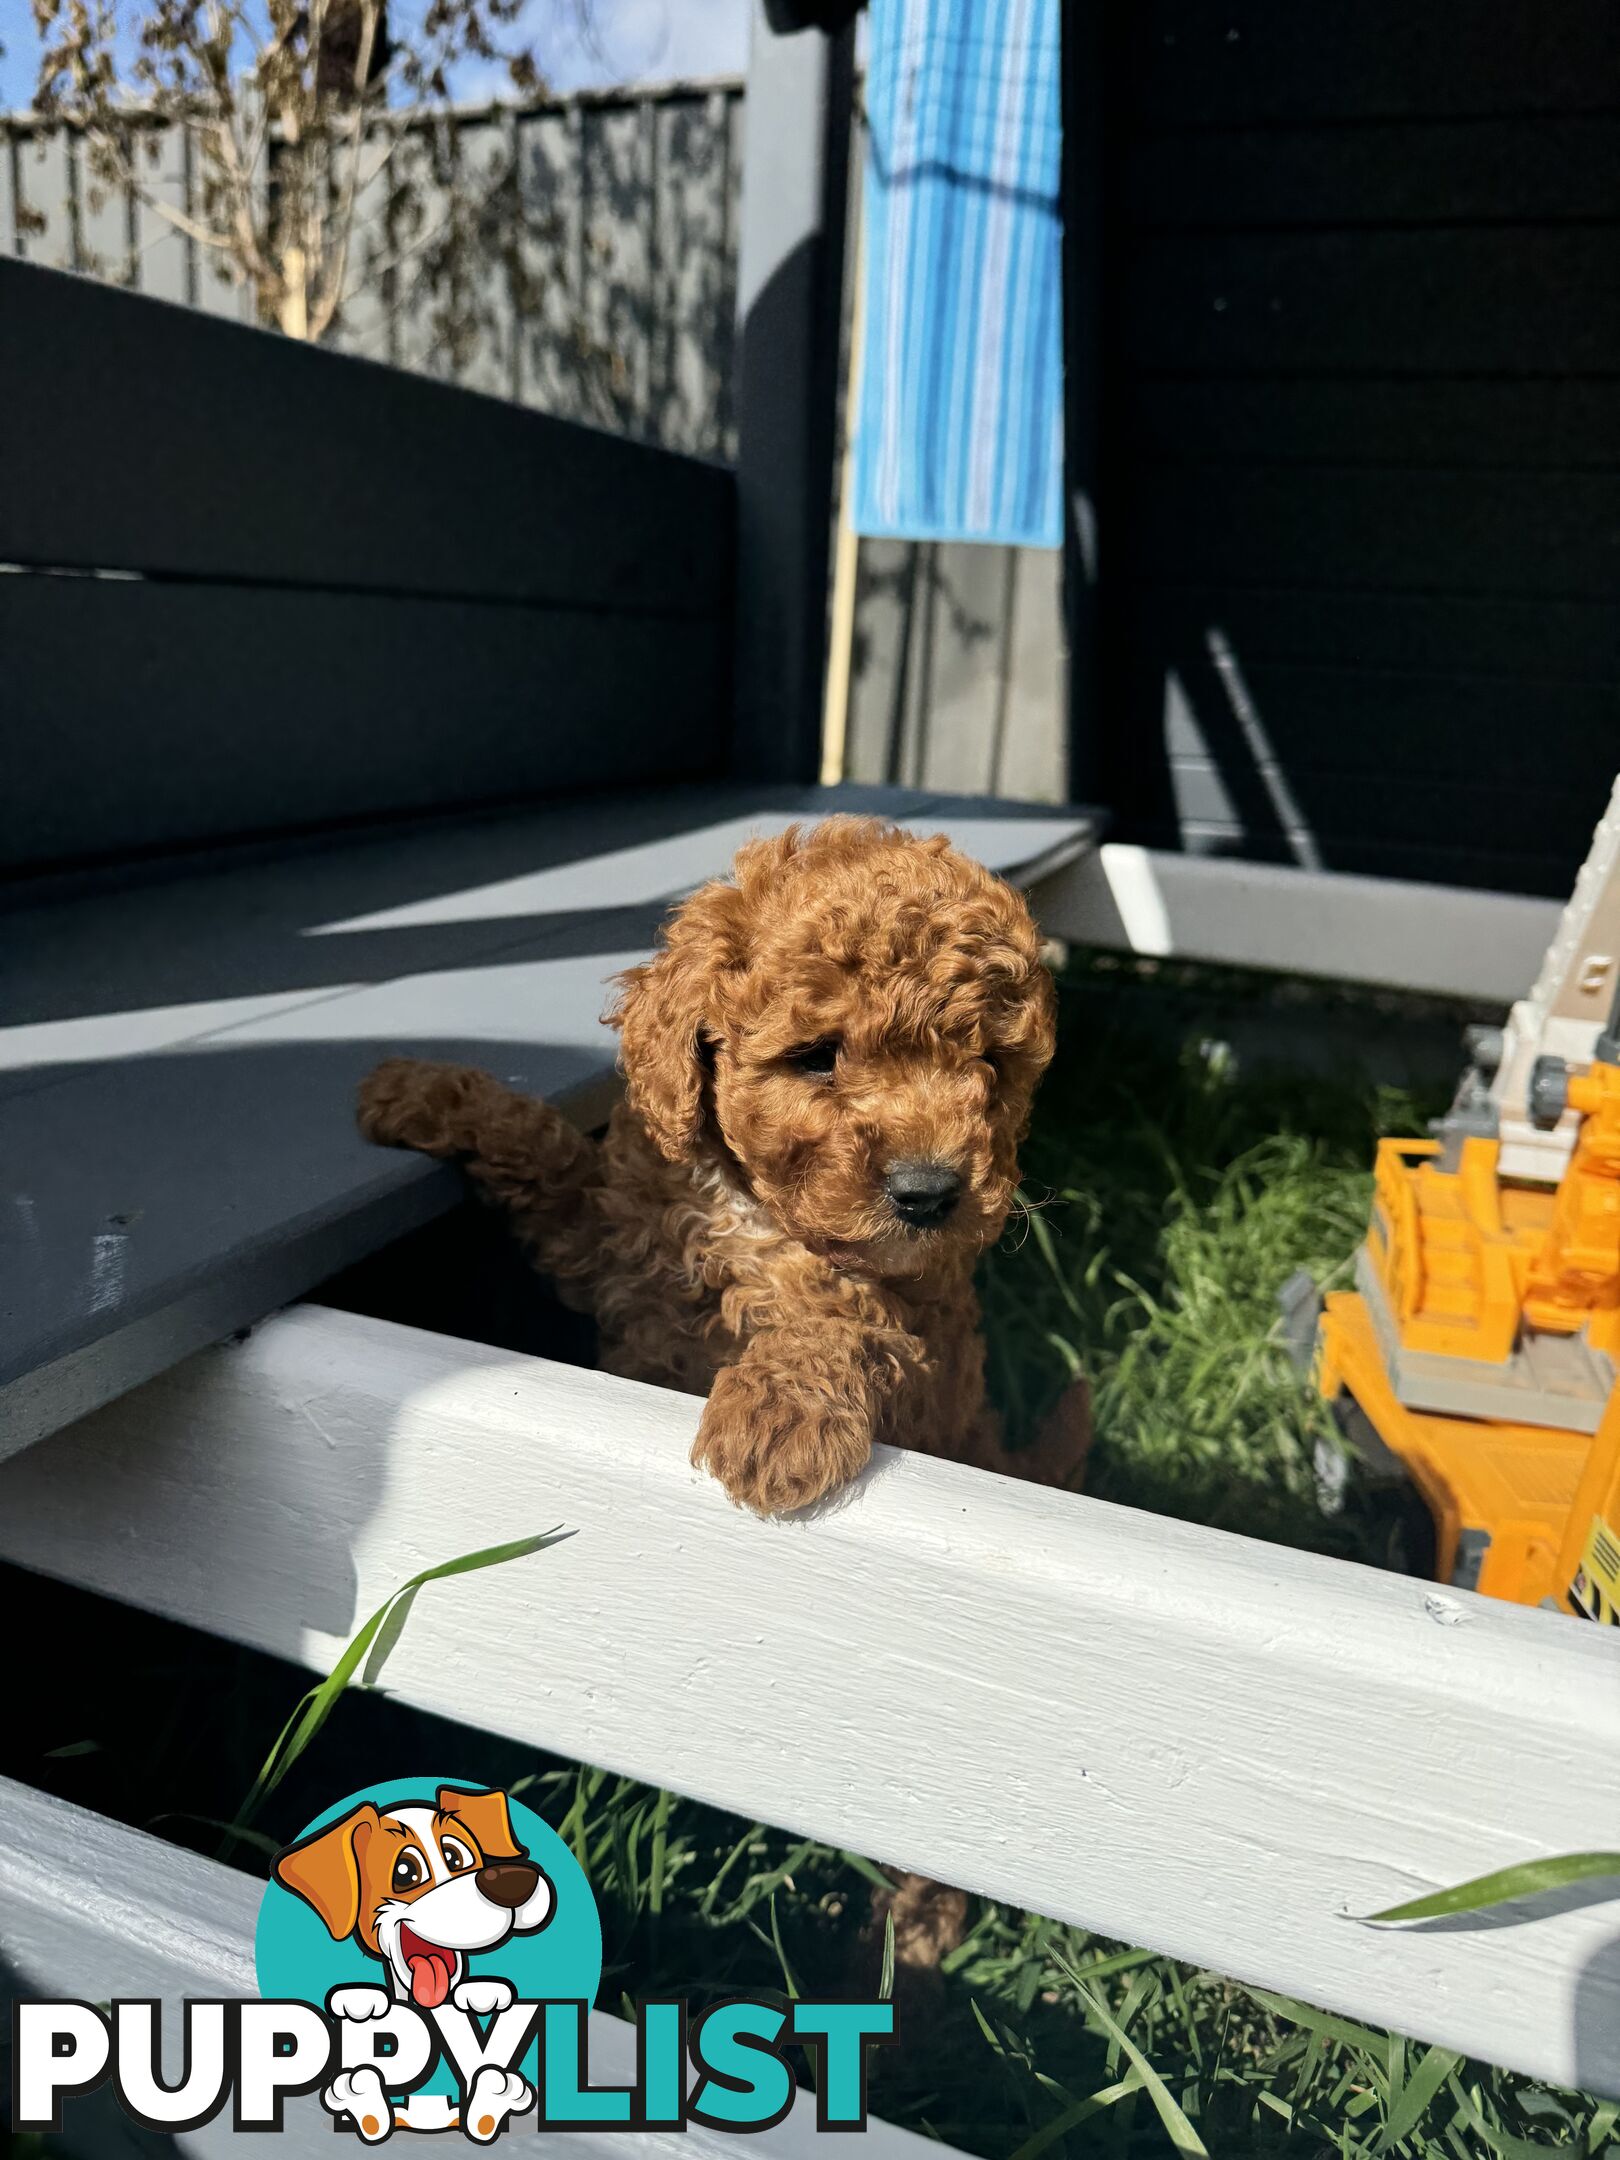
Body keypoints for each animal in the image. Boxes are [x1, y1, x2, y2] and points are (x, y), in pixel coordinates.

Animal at [354, 816, 1092, 1512]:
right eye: (816, 1056)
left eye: (991, 1064)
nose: (929, 1193)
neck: (748, 1207)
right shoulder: (605, 1236)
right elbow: (547, 1149)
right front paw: (411, 1088)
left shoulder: (926, 1345)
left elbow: (850, 1318)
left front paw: (778, 1414)